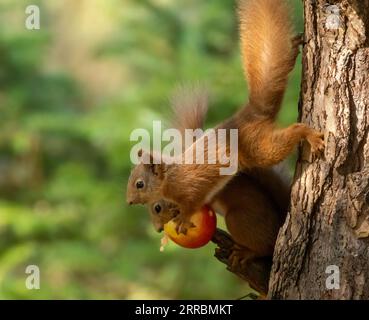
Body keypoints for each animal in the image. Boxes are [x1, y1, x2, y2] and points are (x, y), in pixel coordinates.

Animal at [128, 0, 324, 235]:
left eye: (139, 184)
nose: (129, 202)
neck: (170, 178)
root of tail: (248, 115)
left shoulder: (191, 188)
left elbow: (192, 204)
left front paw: (183, 219)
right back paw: (293, 48)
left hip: (258, 148)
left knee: (286, 138)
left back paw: (309, 134)